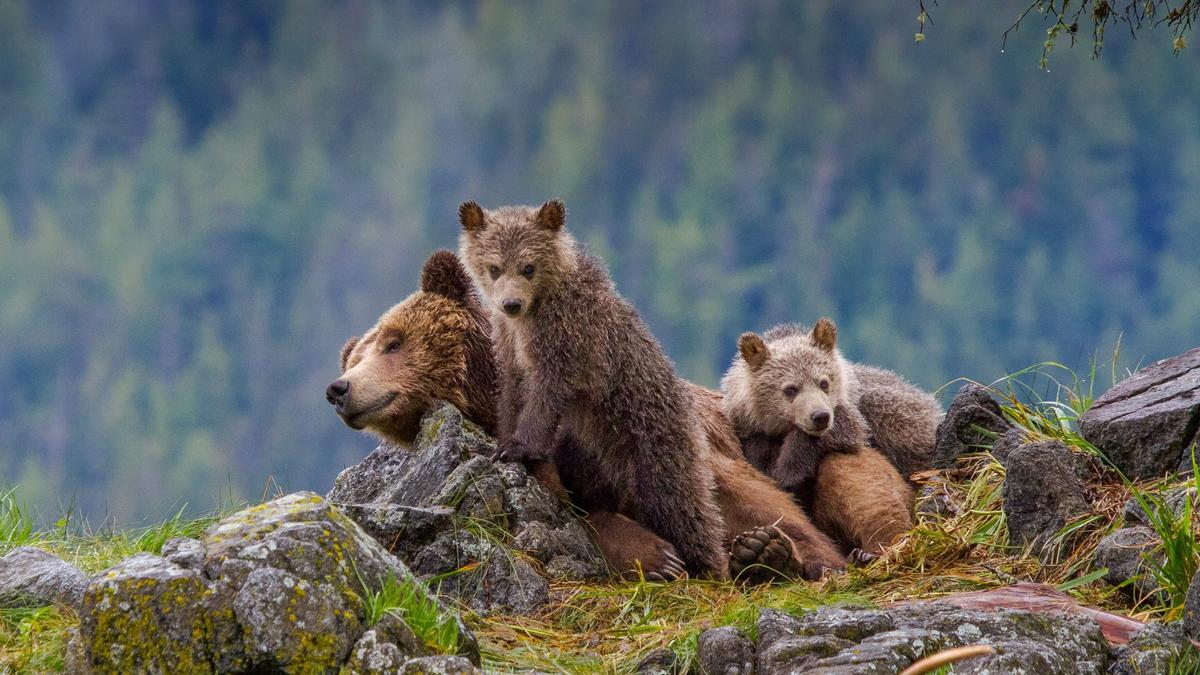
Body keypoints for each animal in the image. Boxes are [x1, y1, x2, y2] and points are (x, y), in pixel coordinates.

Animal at [458, 199, 845, 579]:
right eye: (494, 267)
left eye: (528, 266)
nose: (511, 303)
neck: (535, 312)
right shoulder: (509, 343)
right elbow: (512, 390)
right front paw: (505, 440)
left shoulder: (571, 338)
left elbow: (549, 390)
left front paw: (518, 446)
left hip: (657, 445)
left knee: (692, 507)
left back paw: (741, 559)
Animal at [721, 318, 919, 556]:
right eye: (790, 389)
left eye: (824, 382)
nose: (820, 416)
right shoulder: (746, 424)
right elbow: (756, 454)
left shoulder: (847, 412)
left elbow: (842, 431)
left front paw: (789, 471)